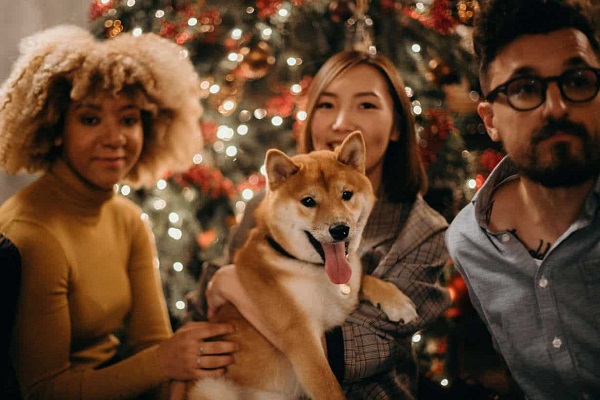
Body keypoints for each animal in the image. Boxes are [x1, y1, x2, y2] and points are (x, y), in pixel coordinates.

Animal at [190, 132, 420, 400]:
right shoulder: (301, 336)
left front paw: (396, 301)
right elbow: (328, 386)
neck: (310, 268)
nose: (340, 229)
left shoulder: (348, 286)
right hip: (210, 388)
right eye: (308, 201)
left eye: (346, 194)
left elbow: (365, 277)